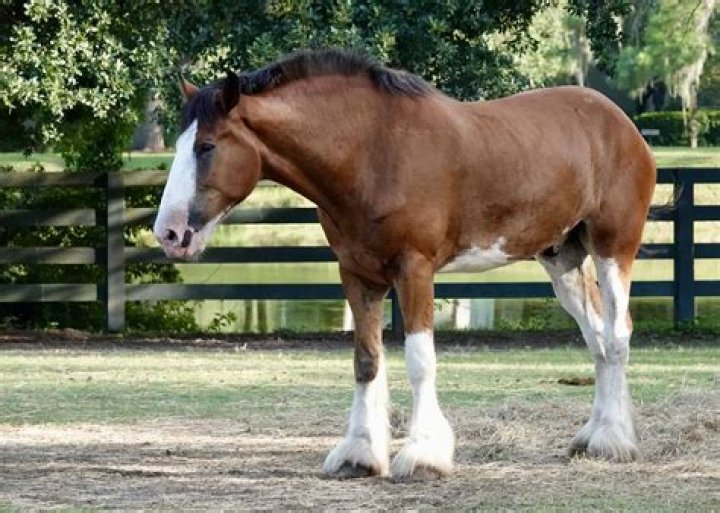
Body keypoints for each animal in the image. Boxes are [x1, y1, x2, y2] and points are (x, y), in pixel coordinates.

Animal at [153, 49, 656, 479]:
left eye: (206, 146)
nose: (170, 234)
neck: (371, 152)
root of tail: (622, 124)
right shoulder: (358, 274)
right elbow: (366, 359)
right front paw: (358, 453)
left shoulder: (414, 270)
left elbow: (419, 361)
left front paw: (423, 455)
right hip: (562, 257)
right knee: (596, 337)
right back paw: (594, 436)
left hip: (612, 248)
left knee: (616, 335)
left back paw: (612, 441)